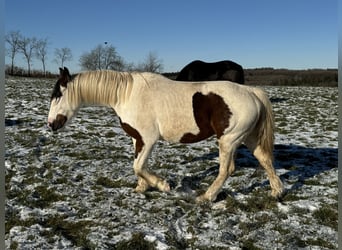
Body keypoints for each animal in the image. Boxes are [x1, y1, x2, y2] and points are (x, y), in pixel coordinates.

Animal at [48, 67, 284, 203]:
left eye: (58, 95)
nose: (51, 125)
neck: (126, 94)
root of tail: (252, 92)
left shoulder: (149, 139)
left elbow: (138, 166)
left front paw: (162, 185)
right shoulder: (137, 138)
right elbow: (138, 165)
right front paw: (141, 188)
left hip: (228, 140)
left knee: (226, 170)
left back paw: (206, 197)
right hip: (248, 138)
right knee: (265, 159)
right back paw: (277, 192)